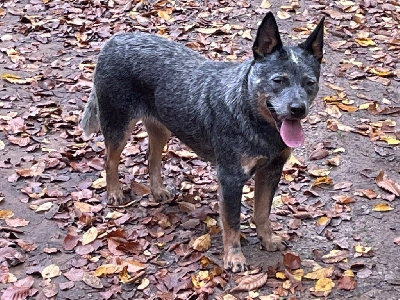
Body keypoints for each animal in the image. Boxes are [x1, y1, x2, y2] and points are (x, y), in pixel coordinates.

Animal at [81, 12, 324, 272]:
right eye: (279, 80)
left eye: (309, 82)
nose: (298, 109)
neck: (253, 118)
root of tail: (114, 40)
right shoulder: (230, 178)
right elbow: (232, 222)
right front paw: (234, 257)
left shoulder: (271, 170)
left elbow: (262, 211)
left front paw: (267, 239)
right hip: (118, 125)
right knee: (110, 160)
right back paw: (114, 192)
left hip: (162, 126)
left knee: (152, 158)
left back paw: (158, 190)